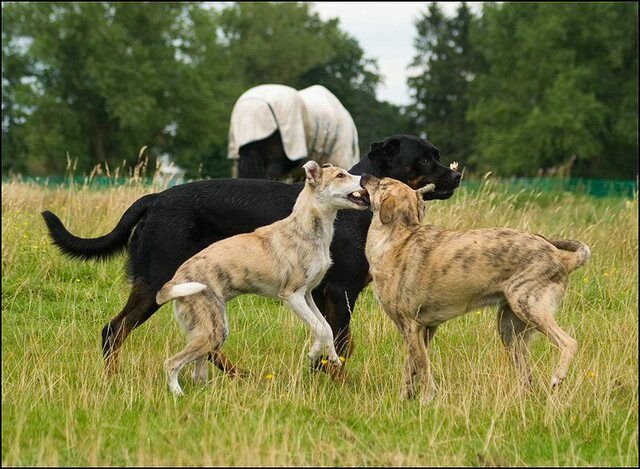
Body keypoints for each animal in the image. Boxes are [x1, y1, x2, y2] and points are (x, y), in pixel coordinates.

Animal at [42, 134, 462, 372]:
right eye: (426, 158)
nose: (457, 175)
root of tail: (156, 198)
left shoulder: (323, 293)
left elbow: (332, 338)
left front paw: (319, 370)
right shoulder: (341, 290)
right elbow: (343, 342)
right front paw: (336, 380)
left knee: (202, 341)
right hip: (159, 280)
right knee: (114, 331)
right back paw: (114, 379)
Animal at [360, 174, 592, 400]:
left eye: (382, 183)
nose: (364, 175)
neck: (396, 237)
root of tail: (563, 259)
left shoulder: (411, 325)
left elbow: (422, 368)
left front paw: (426, 400)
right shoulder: (423, 330)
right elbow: (410, 368)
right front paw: (404, 400)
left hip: (528, 306)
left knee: (569, 343)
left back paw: (558, 377)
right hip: (509, 329)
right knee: (526, 378)